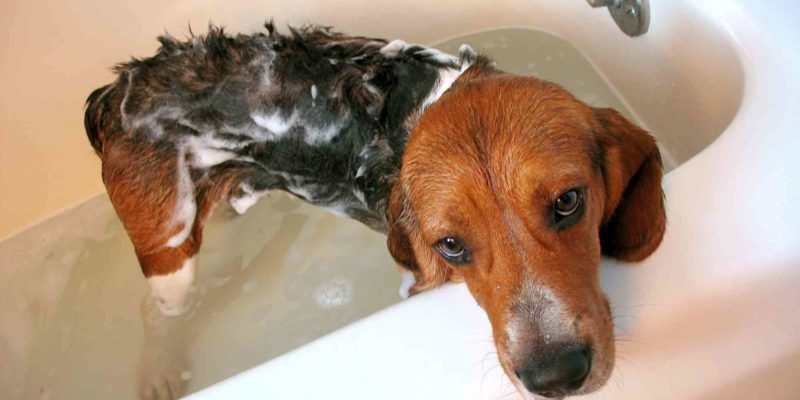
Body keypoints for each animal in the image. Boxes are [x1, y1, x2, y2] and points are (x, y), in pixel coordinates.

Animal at [84, 22, 664, 400]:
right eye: (450, 246)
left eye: (568, 202)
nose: (556, 377)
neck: (429, 104)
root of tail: (113, 92)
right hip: (169, 248)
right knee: (157, 310)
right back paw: (159, 373)